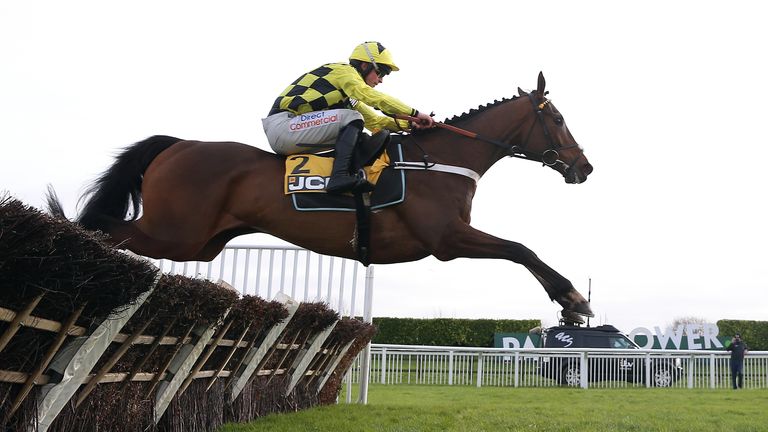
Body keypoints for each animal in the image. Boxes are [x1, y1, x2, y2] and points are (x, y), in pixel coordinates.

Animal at [55, 72, 592, 318]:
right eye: (558, 118)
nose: (584, 168)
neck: (436, 158)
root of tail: (178, 145)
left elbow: (520, 249)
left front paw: (571, 301)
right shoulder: (446, 238)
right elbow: (521, 248)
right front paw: (573, 298)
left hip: (200, 243)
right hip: (172, 232)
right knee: (104, 230)